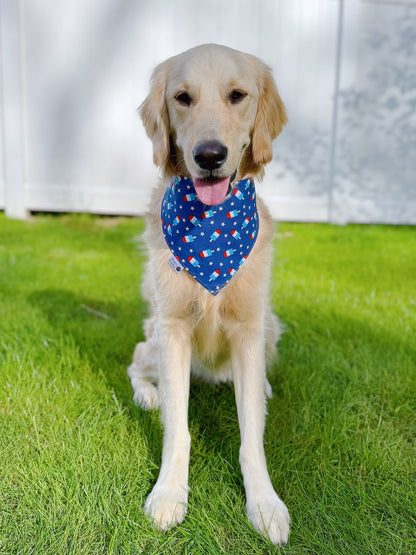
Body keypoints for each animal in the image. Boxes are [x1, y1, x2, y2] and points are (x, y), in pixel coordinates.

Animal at [128, 44, 290, 548]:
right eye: (183, 98)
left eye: (237, 95)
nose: (211, 155)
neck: (210, 229)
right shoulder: (173, 328)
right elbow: (177, 431)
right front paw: (168, 493)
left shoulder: (249, 329)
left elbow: (252, 435)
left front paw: (264, 504)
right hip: (153, 338)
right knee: (136, 364)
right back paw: (149, 395)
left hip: (270, 325)